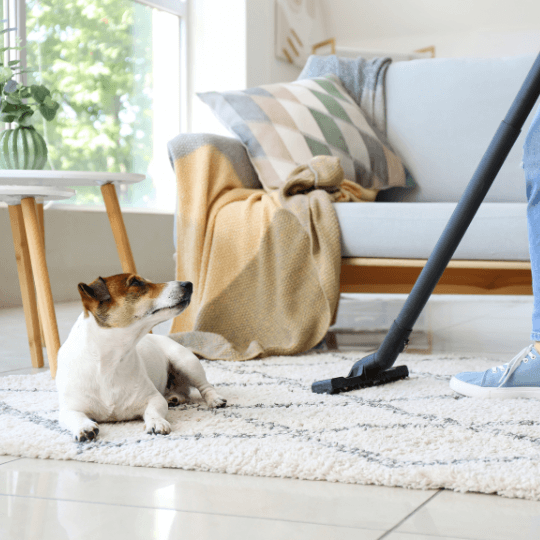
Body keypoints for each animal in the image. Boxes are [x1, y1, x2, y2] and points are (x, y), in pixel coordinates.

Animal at [57, 272, 228, 440]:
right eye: (135, 283)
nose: (188, 284)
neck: (110, 362)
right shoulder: (69, 408)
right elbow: (74, 416)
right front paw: (84, 427)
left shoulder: (154, 398)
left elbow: (153, 410)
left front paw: (156, 422)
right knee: (184, 393)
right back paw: (174, 397)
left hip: (186, 362)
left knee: (205, 386)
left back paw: (214, 399)